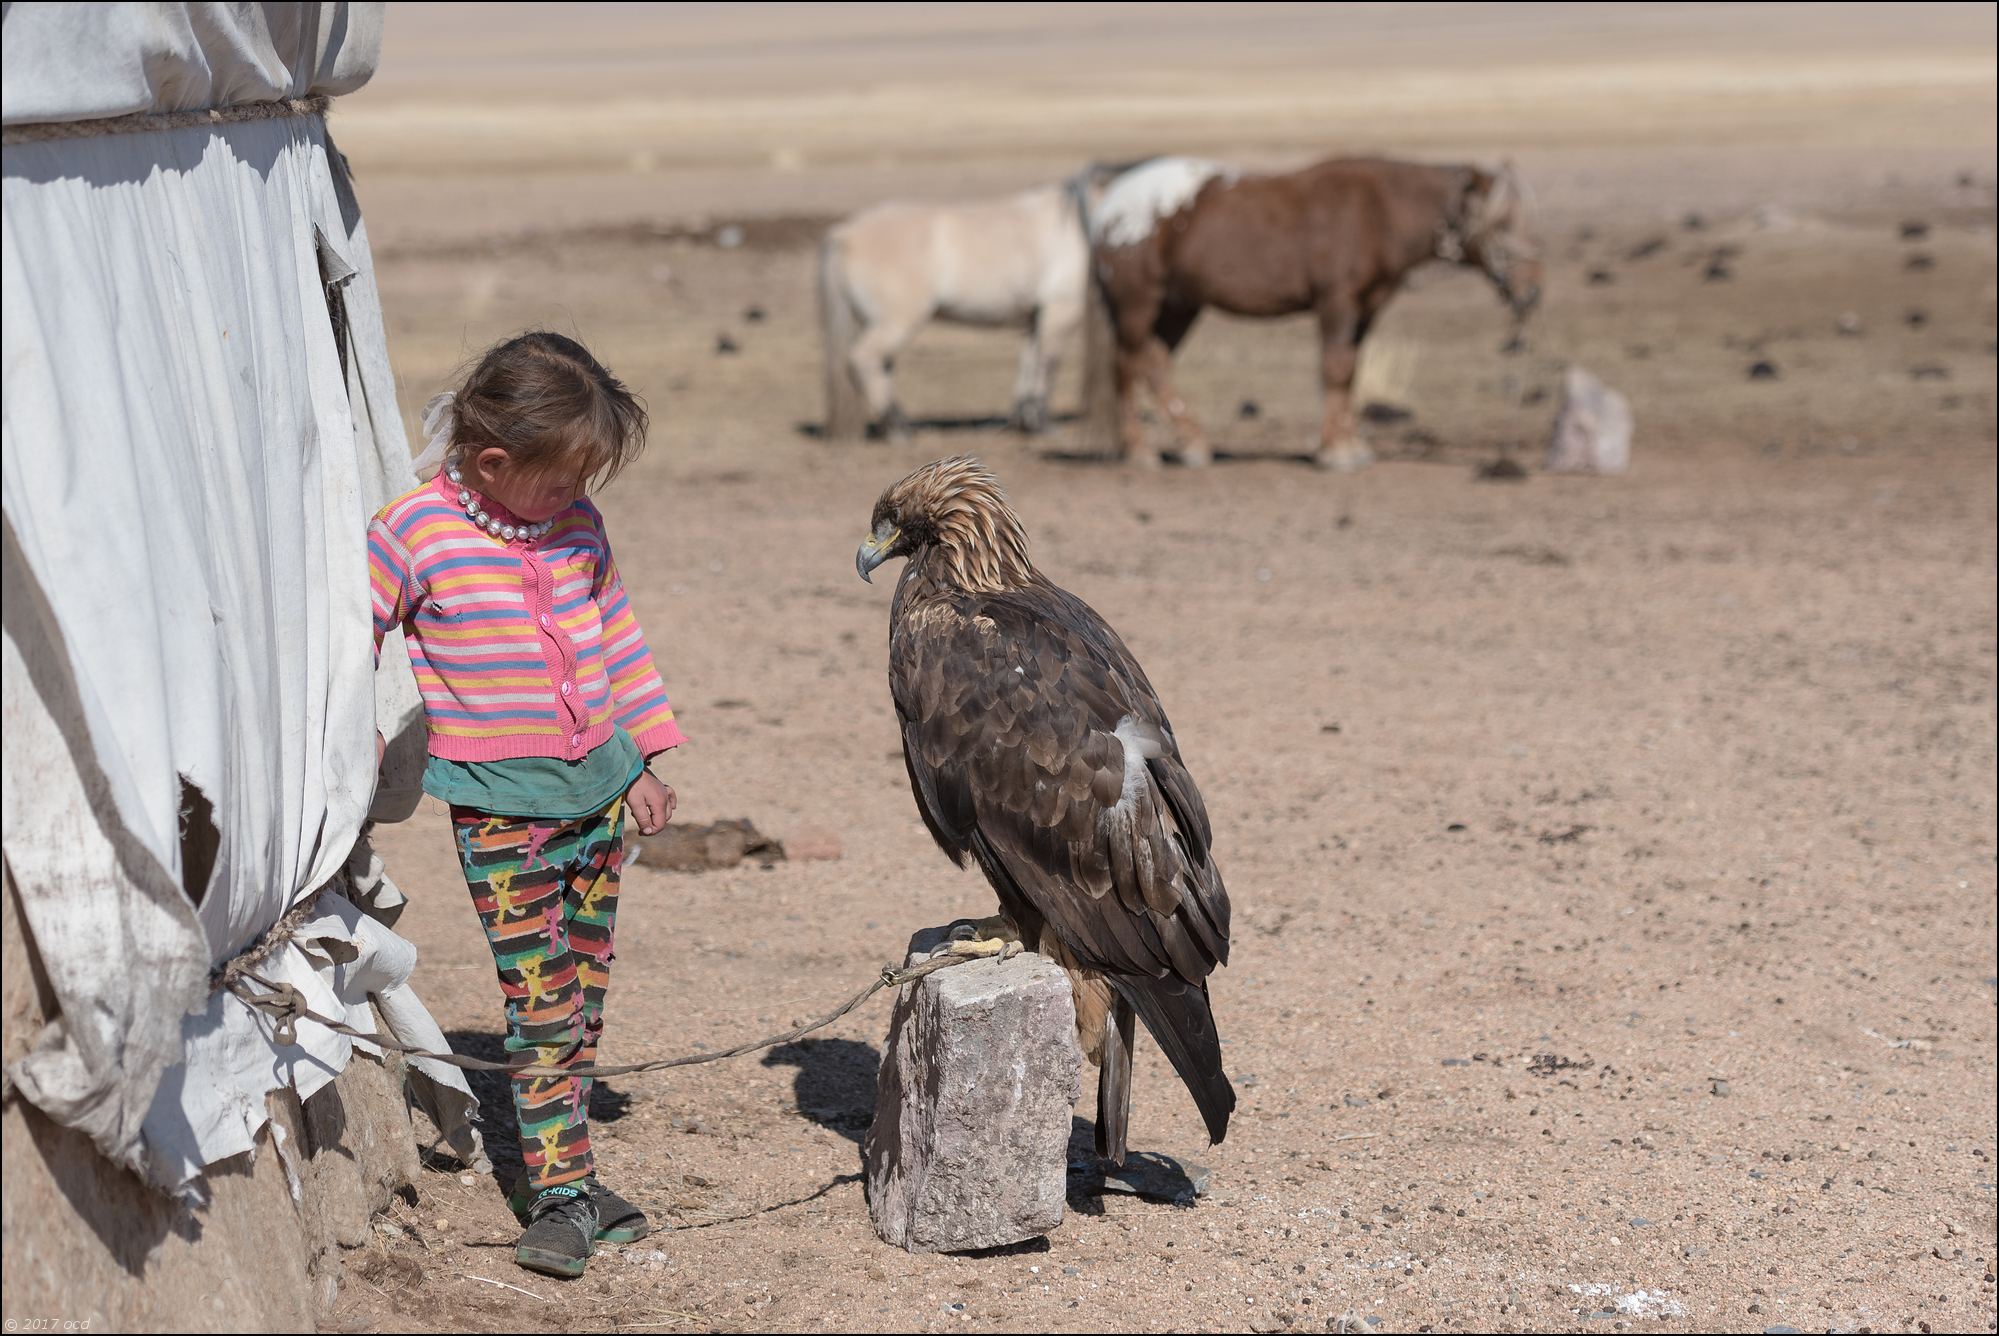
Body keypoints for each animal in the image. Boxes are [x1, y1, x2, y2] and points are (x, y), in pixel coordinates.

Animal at [815, 170, 1127, 440]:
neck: (1082, 221)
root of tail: (845, 232)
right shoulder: (1060, 311)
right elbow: (1047, 364)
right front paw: (1042, 424)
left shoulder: (1033, 318)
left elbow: (1027, 364)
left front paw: (1024, 421)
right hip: (898, 321)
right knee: (864, 359)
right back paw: (898, 428)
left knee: (881, 365)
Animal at [1087, 155, 1535, 470]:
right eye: (1500, 225)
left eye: (1520, 221)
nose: (1530, 293)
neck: (1378, 211)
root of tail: (1109, 206)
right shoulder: (1336, 303)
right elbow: (1334, 368)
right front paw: (1335, 452)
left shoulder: (1366, 309)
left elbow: (1350, 370)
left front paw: (1351, 445)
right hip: (1138, 303)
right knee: (1127, 364)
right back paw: (1140, 450)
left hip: (1180, 307)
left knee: (1156, 364)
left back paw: (1193, 445)